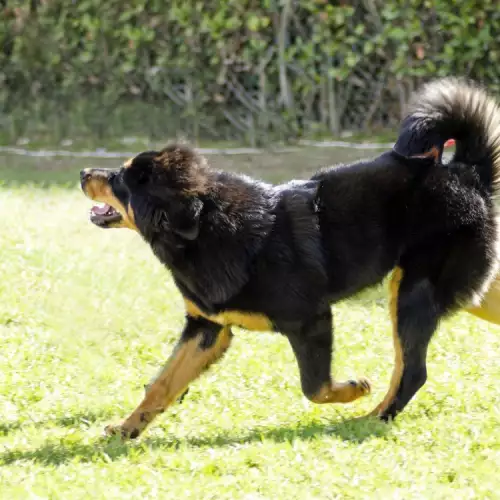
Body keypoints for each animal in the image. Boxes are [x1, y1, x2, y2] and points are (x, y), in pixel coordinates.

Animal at [80, 78, 500, 438]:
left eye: (119, 179)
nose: (84, 172)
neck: (208, 229)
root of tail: (466, 172)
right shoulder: (207, 328)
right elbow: (162, 384)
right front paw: (127, 429)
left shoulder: (311, 320)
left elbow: (315, 387)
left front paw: (355, 389)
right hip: (459, 290)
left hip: (413, 294)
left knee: (412, 371)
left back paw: (371, 417)